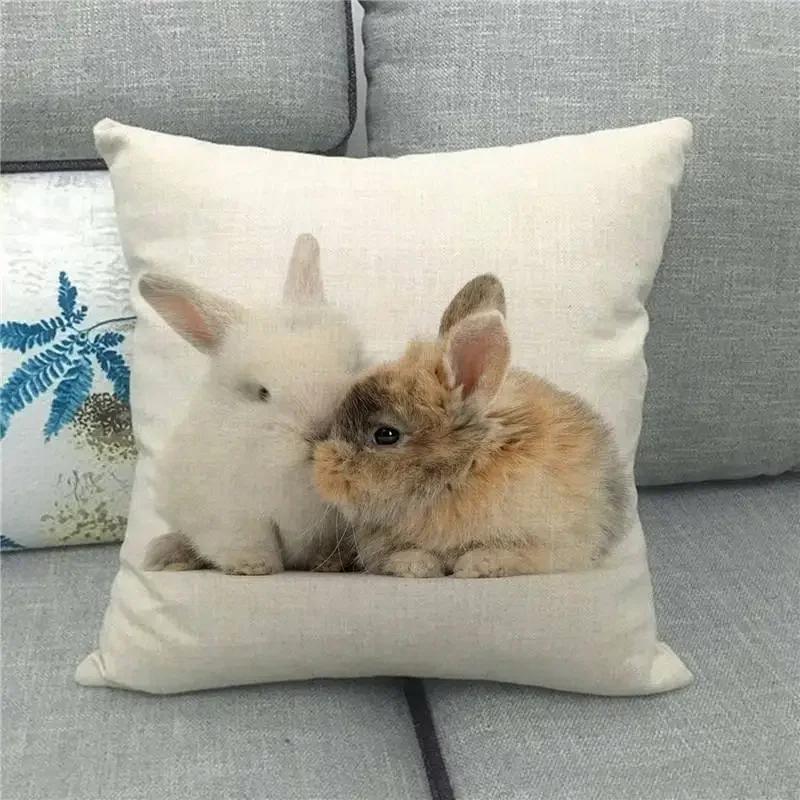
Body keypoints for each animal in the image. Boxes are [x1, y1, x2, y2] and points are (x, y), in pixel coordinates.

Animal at [141, 234, 361, 575]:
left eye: (353, 366)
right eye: (262, 392)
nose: (321, 429)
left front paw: (331, 562)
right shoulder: (231, 513)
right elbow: (249, 539)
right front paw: (252, 566)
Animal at [313, 273, 630, 578]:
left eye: (386, 435)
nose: (320, 473)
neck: (466, 470)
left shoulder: (552, 542)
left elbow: (516, 555)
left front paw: (476, 565)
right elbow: (401, 555)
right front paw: (417, 566)